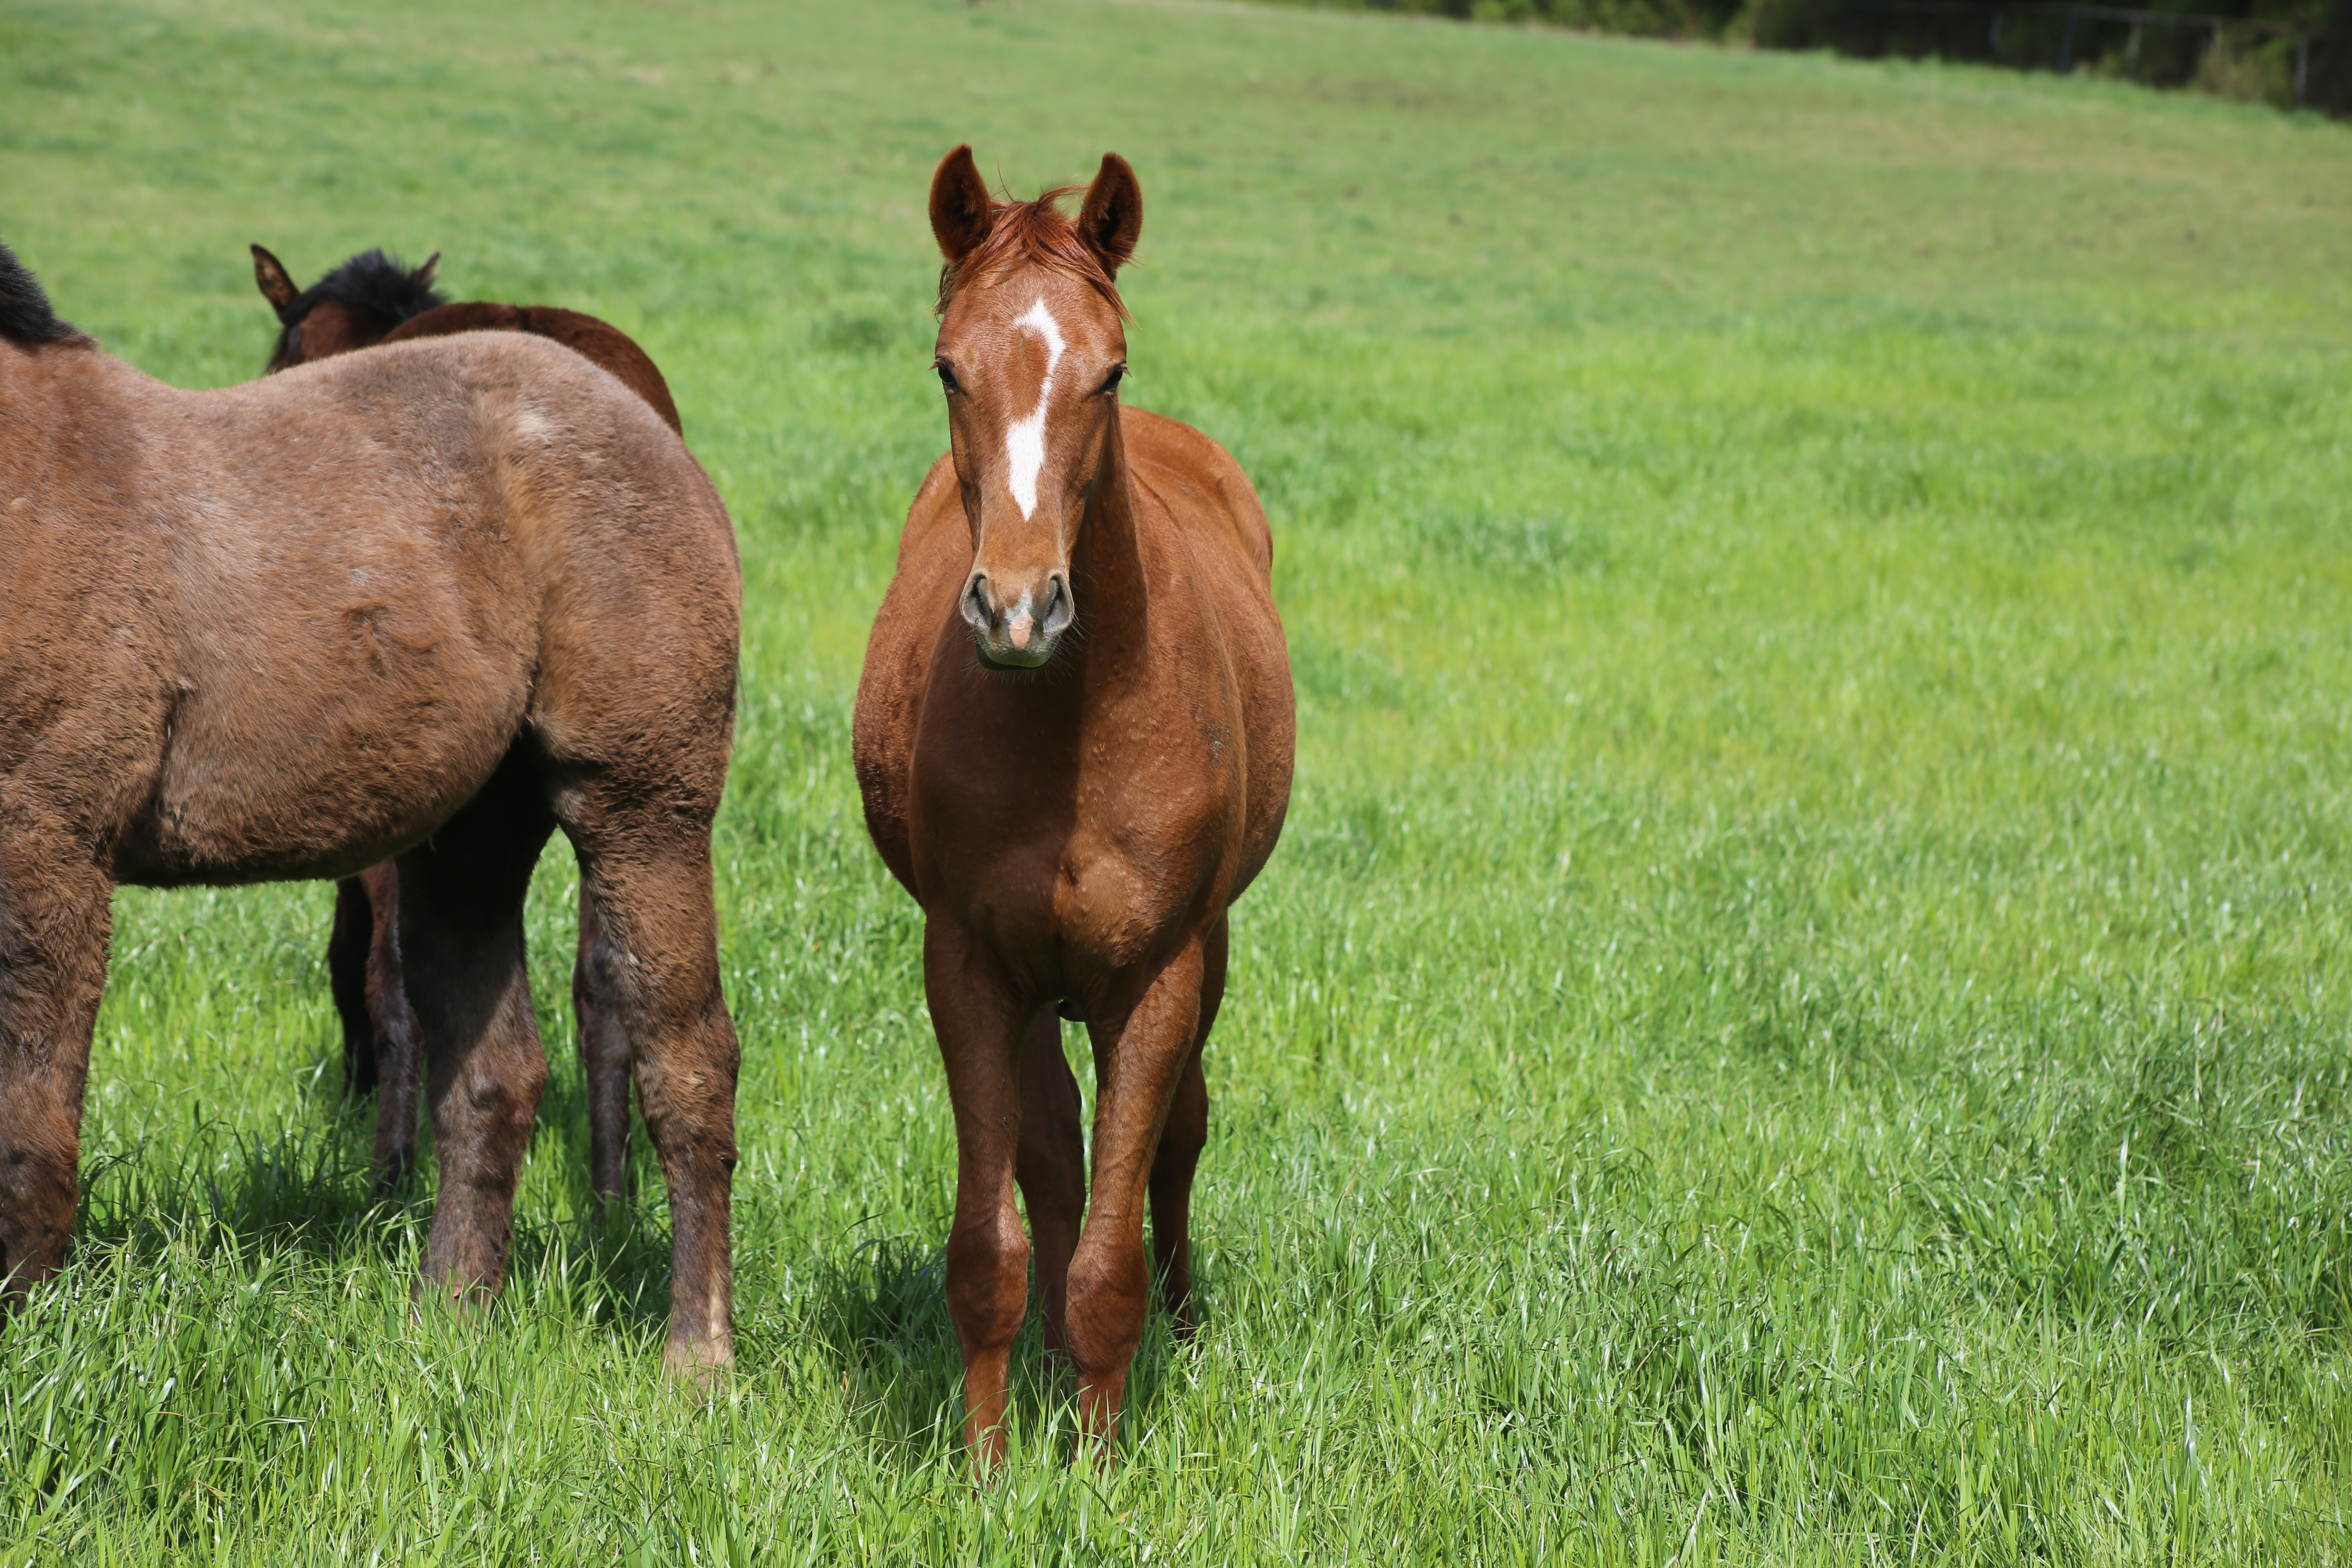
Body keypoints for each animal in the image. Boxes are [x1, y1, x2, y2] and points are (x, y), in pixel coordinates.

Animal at [856, 150, 1298, 1476]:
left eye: (1109, 371)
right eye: (948, 365)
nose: (1017, 609)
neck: (1069, 727)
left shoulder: (1155, 972)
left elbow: (1117, 1243)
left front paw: (1099, 1467)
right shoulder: (969, 965)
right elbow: (995, 1239)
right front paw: (993, 1464)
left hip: (1194, 956)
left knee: (1173, 1143)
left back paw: (1180, 1321)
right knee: (1055, 1161)